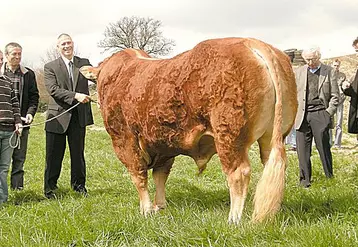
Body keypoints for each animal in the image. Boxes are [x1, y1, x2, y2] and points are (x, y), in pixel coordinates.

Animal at [80, 37, 296, 224]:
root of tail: (252, 43)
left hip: (229, 136)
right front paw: (160, 207)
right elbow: (160, 175)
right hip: (272, 136)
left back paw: (234, 219)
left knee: (238, 173)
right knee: (272, 168)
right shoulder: (163, 143)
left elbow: (138, 174)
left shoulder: (124, 139)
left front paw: (146, 210)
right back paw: (270, 212)